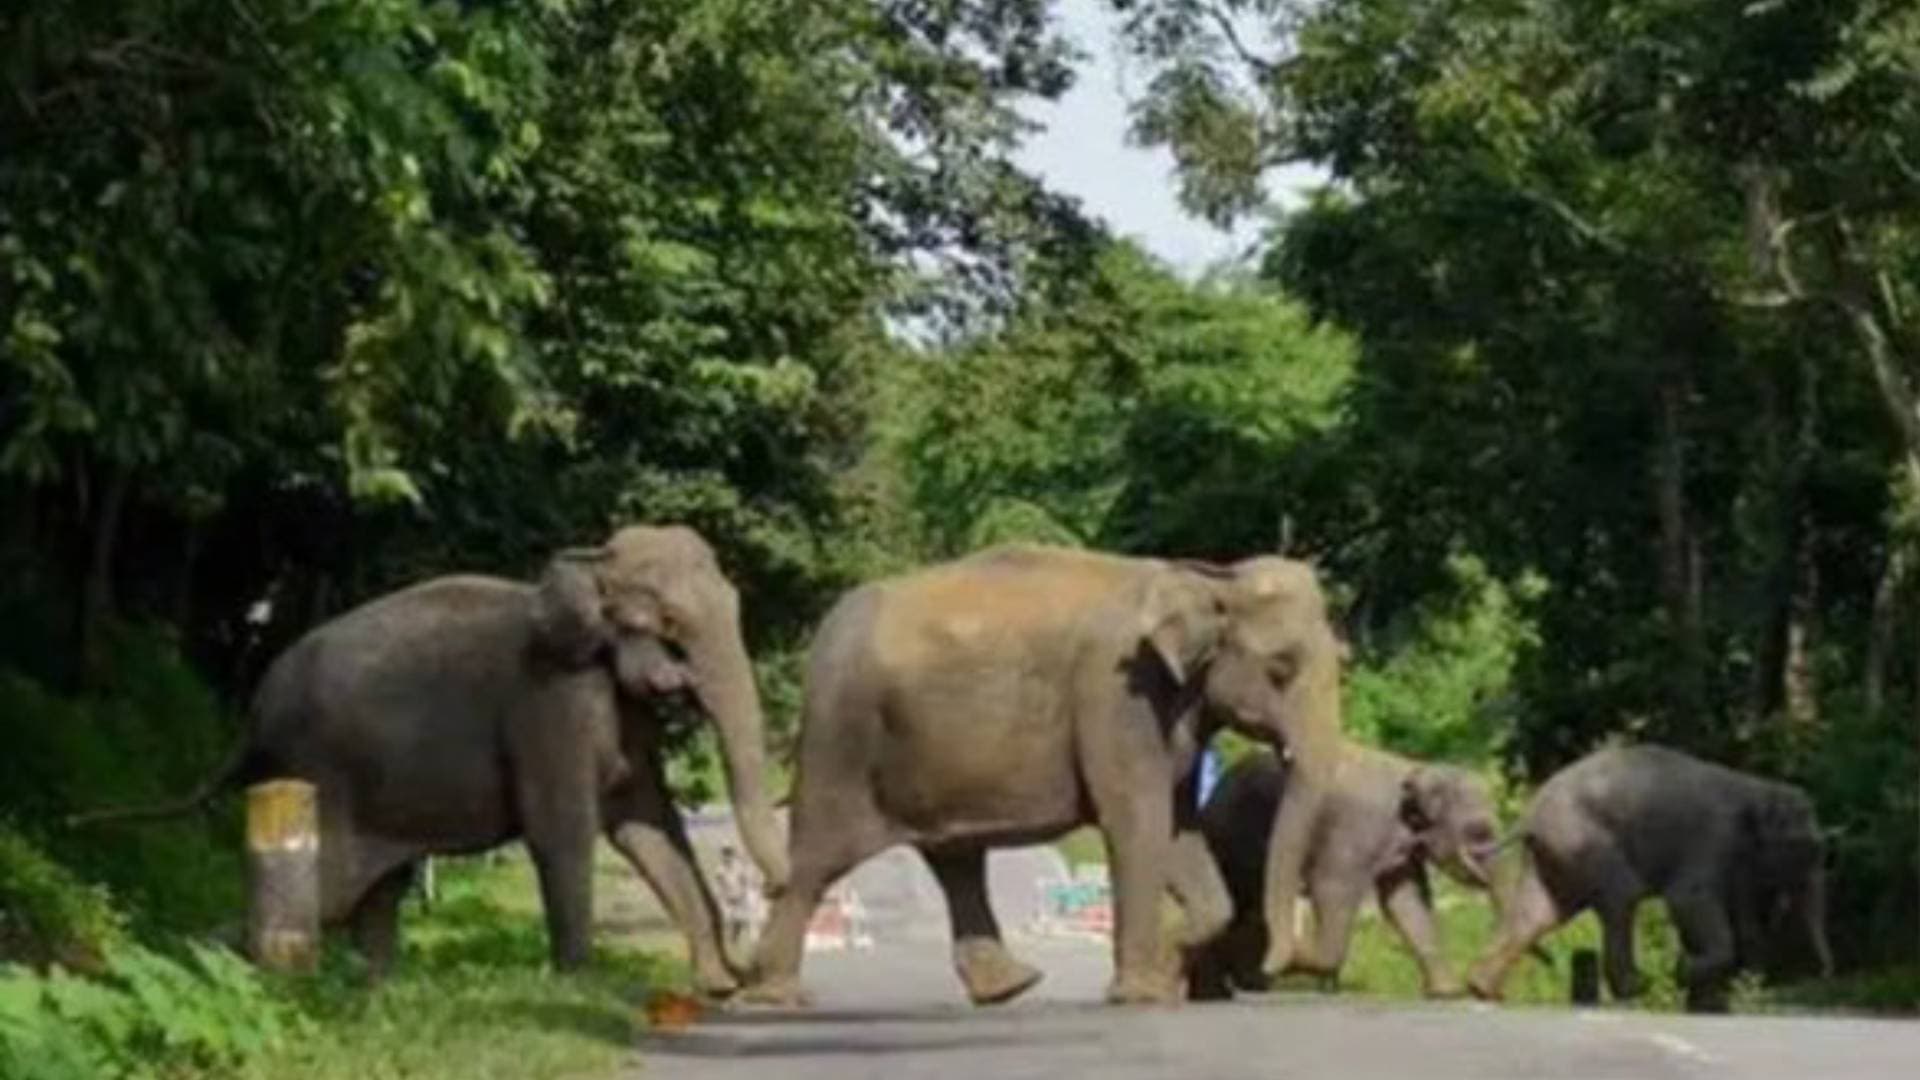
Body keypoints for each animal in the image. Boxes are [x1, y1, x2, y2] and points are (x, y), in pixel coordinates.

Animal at [73, 525, 787, 995]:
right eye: (669, 624)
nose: (753, 972)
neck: (588, 563)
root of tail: (252, 717)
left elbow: (650, 824)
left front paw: (716, 987)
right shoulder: (549, 701)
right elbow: (562, 831)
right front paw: (579, 988)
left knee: (373, 892)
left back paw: (375, 992)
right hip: (317, 774)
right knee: (328, 891)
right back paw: (165, 964)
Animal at [741, 544, 1345, 1006]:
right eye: (1280, 670)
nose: (1271, 967)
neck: (1211, 576)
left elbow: (1177, 829)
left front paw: (1171, 963)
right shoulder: (1117, 694)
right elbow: (1137, 823)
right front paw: (1142, 994)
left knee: (954, 858)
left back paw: (1008, 988)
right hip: (841, 737)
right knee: (818, 858)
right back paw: (776, 994)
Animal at [1187, 743, 1503, 1000]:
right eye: (1479, 834)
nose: (1482, 989)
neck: (1415, 767)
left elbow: (1407, 901)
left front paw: (1447, 994)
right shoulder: (1352, 829)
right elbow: (1331, 888)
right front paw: (1290, 959)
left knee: (1244, 908)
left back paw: (1237, 985)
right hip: (1227, 840)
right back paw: (1223, 989)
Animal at [1466, 743, 1833, 1011]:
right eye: (1805, 846)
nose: (1826, 973)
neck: (1757, 786)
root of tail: (1529, 815)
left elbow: (1727, 917)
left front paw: (1707, 998)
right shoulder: (1713, 837)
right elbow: (1688, 899)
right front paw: (1682, 972)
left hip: (1556, 854)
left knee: (1538, 915)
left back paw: (1483, 991)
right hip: (1584, 840)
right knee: (1621, 896)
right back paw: (1637, 987)